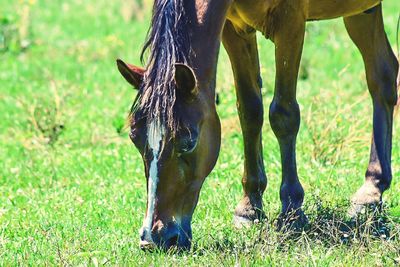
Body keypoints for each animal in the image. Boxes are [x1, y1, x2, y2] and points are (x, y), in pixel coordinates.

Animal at [115, 0, 396, 251]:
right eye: (134, 138)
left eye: (188, 141)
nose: (155, 238)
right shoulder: (234, 28)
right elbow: (250, 111)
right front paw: (249, 208)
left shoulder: (291, 21)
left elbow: (283, 113)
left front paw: (292, 210)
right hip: (363, 11)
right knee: (383, 76)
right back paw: (371, 189)